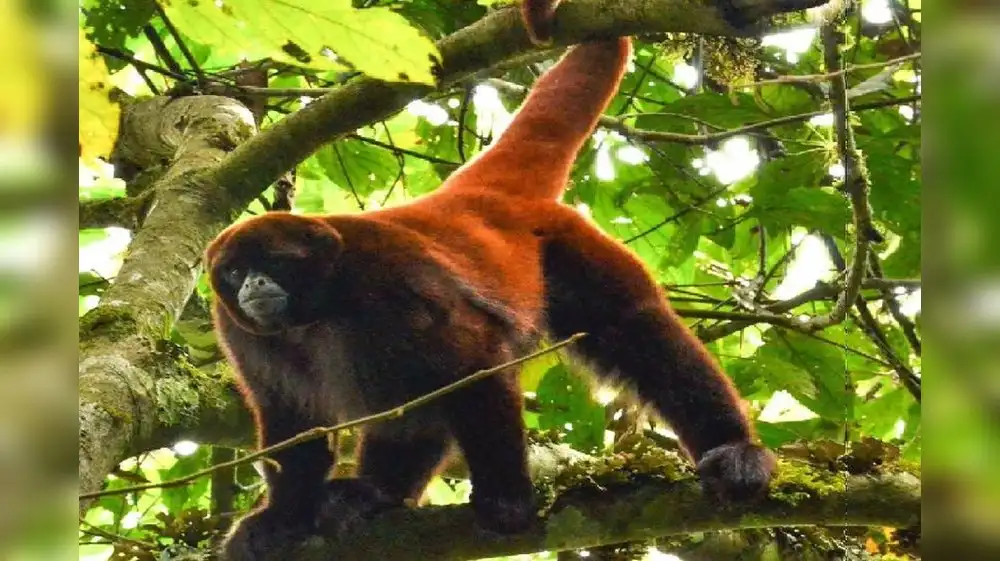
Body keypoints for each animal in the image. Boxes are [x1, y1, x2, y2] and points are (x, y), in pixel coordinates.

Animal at [208, 3, 775, 560]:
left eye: (272, 261)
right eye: (233, 272)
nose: (252, 286)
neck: (319, 309)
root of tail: (474, 198)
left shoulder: (388, 279)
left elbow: (473, 359)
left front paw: (507, 499)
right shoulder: (239, 332)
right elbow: (291, 420)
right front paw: (283, 518)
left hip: (566, 244)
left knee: (635, 328)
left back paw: (735, 451)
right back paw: (372, 497)